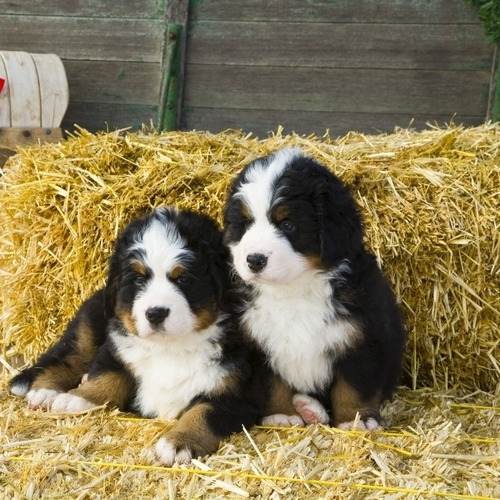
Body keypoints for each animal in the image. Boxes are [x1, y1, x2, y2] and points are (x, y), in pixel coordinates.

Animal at [9, 206, 264, 464]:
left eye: (183, 279)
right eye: (139, 279)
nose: (155, 313)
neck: (170, 348)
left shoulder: (238, 392)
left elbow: (203, 413)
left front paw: (179, 442)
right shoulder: (115, 349)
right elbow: (107, 378)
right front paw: (78, 397)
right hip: (89, 326)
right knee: (68, 358)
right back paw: (45, 392)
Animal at [224, 147, 406, 430]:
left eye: (287, 225)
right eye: (245, 224)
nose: (254, 260)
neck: (295, 289)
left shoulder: (361, 337)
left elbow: (354, 387)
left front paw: (356, 420)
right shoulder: (256, 342)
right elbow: (271, 384)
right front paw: (281, 415)